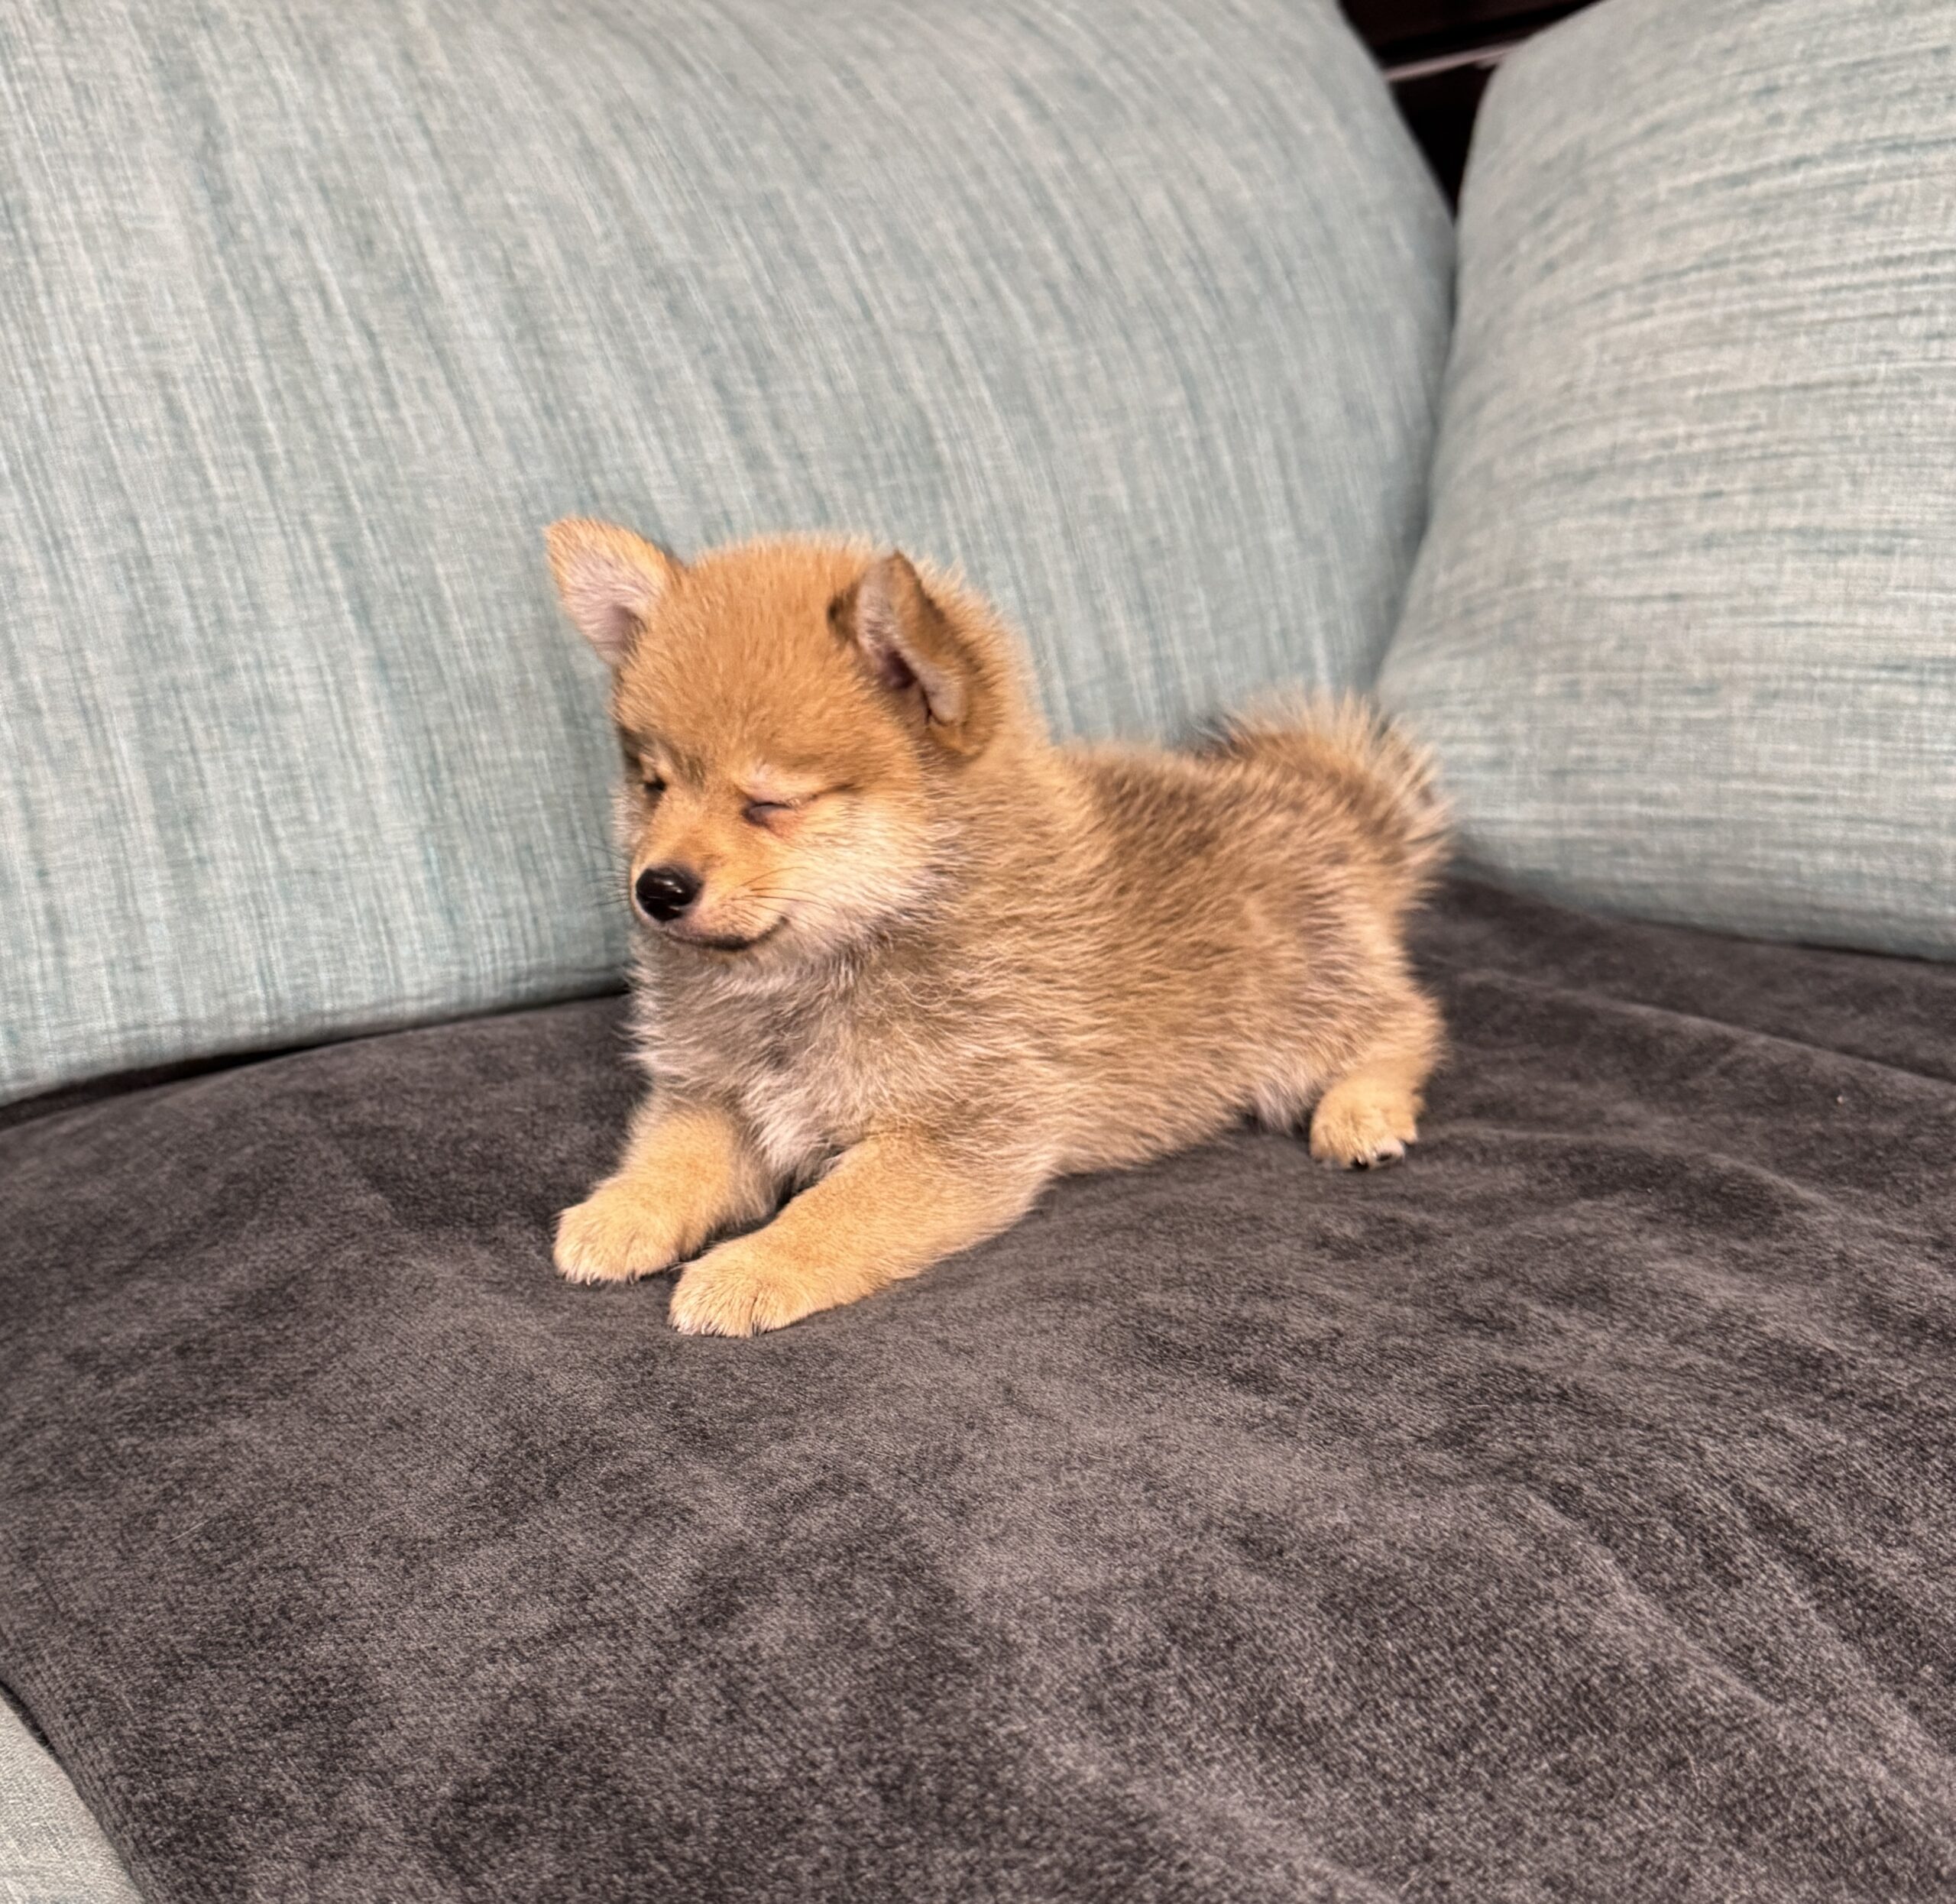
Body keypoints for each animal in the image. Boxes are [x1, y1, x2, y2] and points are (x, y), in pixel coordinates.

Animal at [544, 521, 1447, 1336]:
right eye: (655, 784)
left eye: (770, 802)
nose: (657, 886)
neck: (833, 958)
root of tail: (1325, 811)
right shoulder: (716, 1094)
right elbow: (674, 1157)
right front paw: (622, 1211)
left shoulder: (960, 1132)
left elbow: (837, 1211)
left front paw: (753, 1267)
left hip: (1293, 1016)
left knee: (1407, 1019)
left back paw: (1362, 1112)